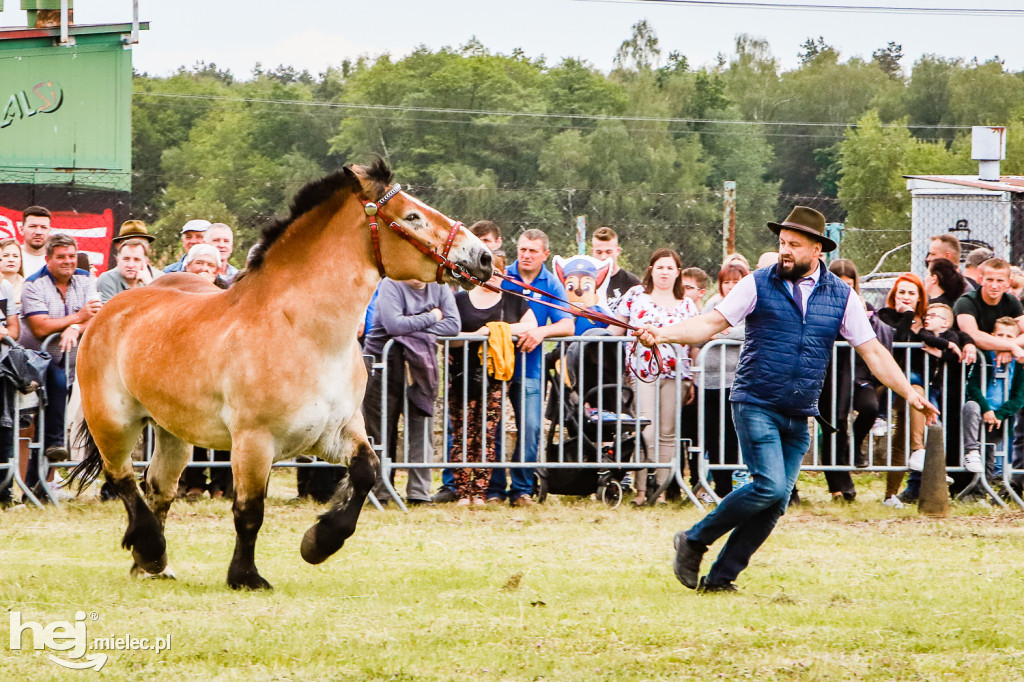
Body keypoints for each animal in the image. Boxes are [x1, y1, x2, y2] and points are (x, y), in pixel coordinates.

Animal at [68, 157, 491, 585]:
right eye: (412, 216)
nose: (484, 258)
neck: (306, 335)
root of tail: (109, 310)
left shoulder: (335, 431)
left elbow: (367, 472)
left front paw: (319, 543)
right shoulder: (254, 442)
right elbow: (249, 510)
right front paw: (246, 577)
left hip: (172, 432)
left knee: (158, 487)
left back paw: (151, 565)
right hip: (113, 422)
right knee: (122, 478)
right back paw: (151, 550)